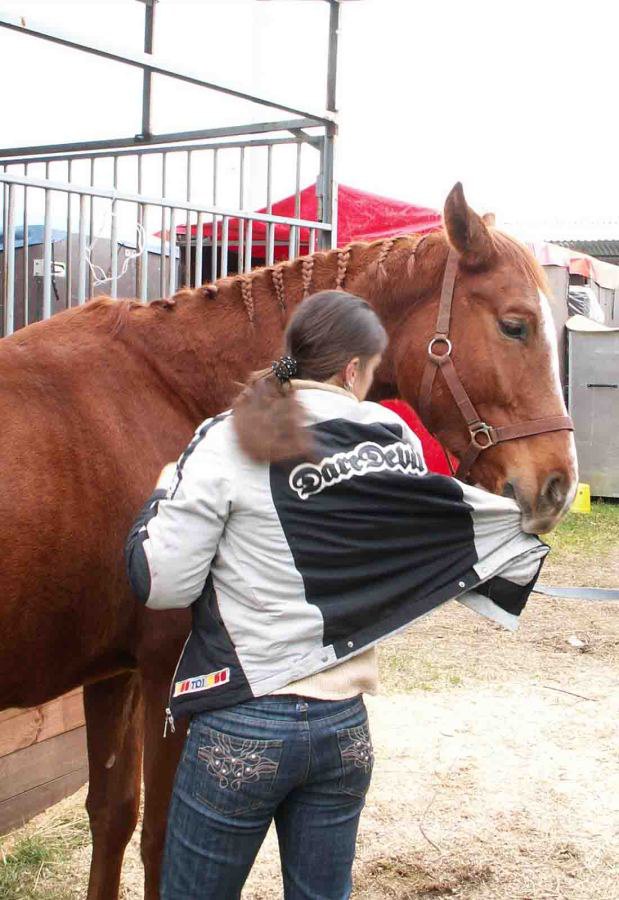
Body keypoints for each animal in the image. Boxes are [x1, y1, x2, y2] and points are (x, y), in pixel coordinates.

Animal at [0, 181, 576, 892]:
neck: (164, 386)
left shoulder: (115, 676)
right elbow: (161, 839)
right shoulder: (170, 677)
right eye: (515, 325)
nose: (558, 484)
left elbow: (112, 818)